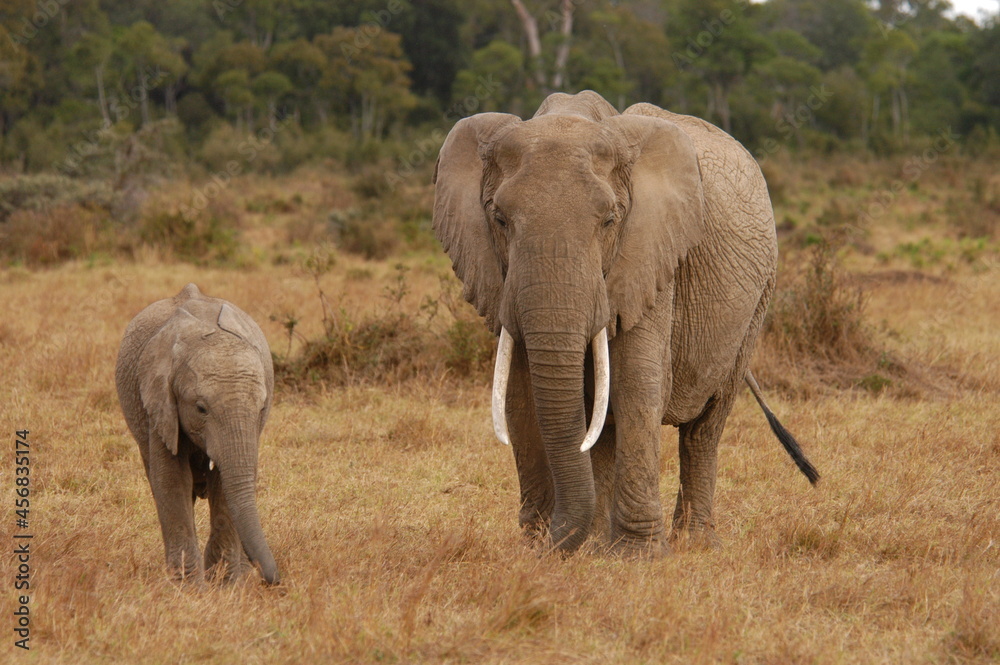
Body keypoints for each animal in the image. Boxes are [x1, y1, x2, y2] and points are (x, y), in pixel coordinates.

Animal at [115, 283, 279, 584]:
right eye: (201, 408)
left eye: (262, 407)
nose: (271, 579)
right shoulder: (160, 403)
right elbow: (171, 480)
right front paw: (189, 588)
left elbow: (226, 483)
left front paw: (227, 584)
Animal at [433, 90, 818, 554]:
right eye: (499, 219)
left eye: (609, 220)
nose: (550, 541)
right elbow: (520, 395)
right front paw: (542, 547)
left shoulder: (652, 255)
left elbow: (636, 384)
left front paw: (639, 556)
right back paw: (600, 542)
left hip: (758, 300)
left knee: (705, 426)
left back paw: (694, 543)